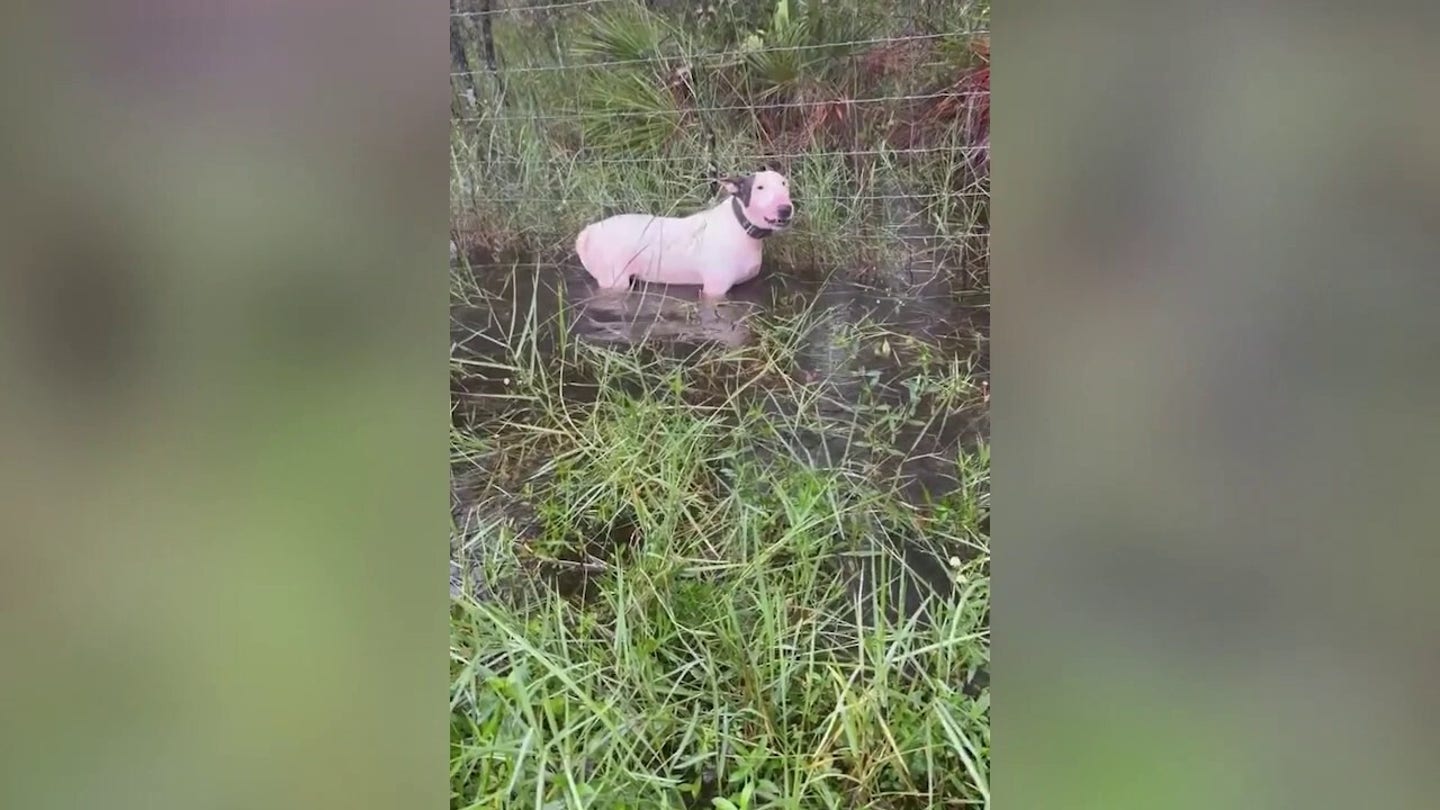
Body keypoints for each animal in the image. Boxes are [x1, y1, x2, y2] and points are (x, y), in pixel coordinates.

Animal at [573, 169, 800, 296]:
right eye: (759, 187)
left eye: (784, 184)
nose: (785, 209)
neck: (740, 226)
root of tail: (589, 232)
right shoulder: (714, 290)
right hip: (614, 279)